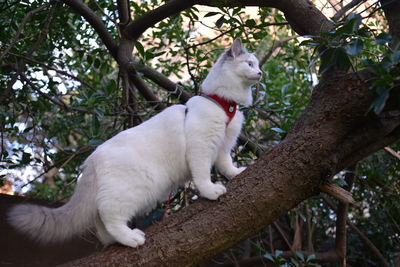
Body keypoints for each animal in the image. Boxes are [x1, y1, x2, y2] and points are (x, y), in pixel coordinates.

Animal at [7, 38, 262, 249]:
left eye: (257, 65)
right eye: (249, 64)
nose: (259, 73)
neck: (224, 103)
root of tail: (92, 159)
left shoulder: (223, 147)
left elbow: (226, 166)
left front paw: (237, 173)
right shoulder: (201, 148)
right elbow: (202, 176)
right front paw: (211, 191)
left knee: (101, 224)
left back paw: (116, 240)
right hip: (136, 189)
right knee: (109, 217)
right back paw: (131, 238)